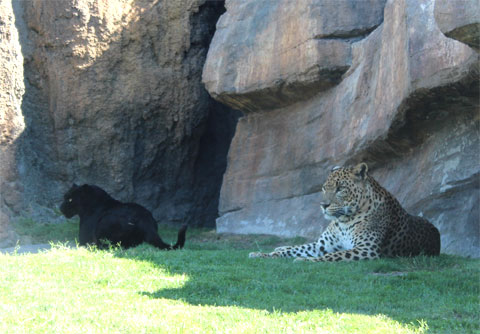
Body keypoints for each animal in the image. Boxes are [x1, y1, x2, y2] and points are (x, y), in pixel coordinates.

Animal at [249, 163, 440, 262]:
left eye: (340, 189)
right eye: (324, 188)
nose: (323, 205)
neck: (344, 221)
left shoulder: (366, 249)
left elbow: (333, 255)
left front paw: (305, 260)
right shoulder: (322, 245)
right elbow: (295, 249)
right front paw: (261, 254)